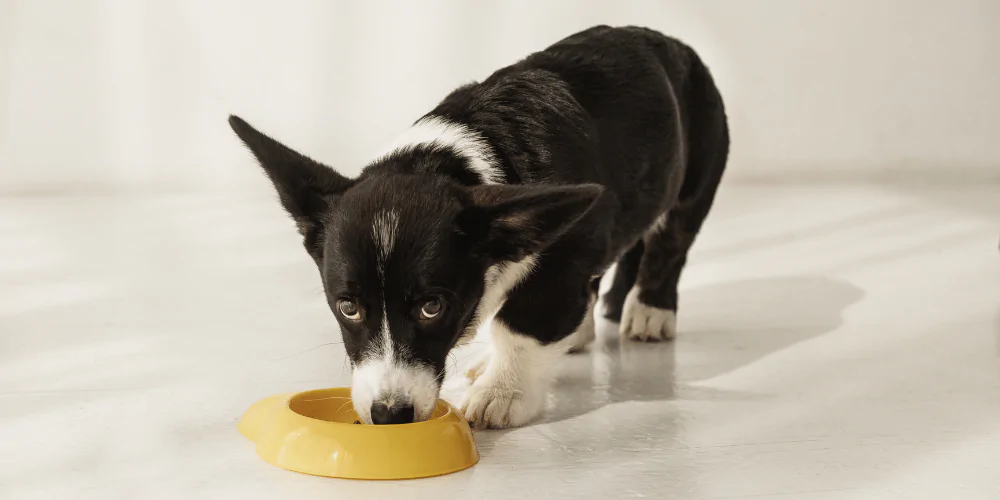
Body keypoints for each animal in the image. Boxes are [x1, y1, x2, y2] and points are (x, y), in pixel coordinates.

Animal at [231, 25, 732, 428]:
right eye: (348, 307)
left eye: (432, 307)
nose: (389, 415)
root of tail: (669, 42)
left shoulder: (562, 260)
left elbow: (520, 327)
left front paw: (502, 394)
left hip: (693, 179)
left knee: (670, 244)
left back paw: (650, 313)